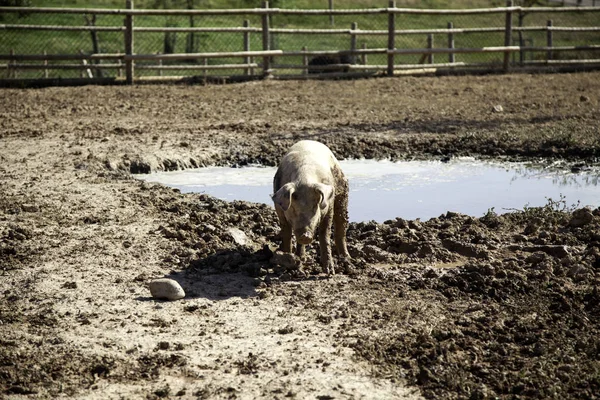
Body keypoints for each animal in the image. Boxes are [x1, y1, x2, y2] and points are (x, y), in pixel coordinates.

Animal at [274, 138, 352, 276]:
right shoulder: (279, 208)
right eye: (293, 208)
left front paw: (330, 272)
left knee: (341, 227)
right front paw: (286, 263)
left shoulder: (328, 207)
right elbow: (286, 233)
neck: (304, 178)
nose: (305, 235)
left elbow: (324, 234)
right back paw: (302, 259)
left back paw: (347, 259)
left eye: (315, 207)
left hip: (343, 193)